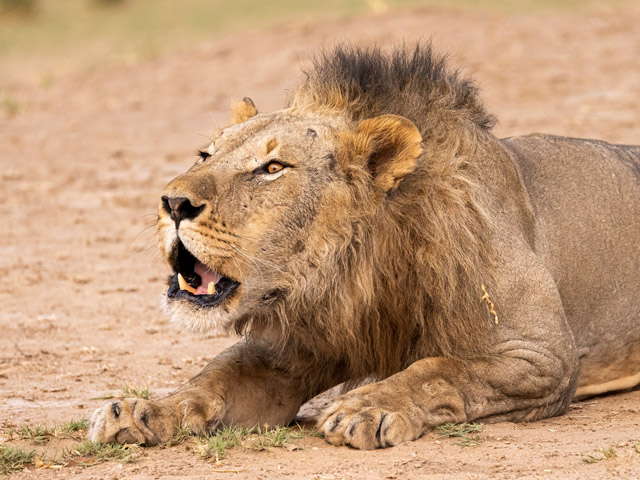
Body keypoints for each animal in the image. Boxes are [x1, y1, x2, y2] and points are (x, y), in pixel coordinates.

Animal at [88, 44, 640, 450]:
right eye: (206, 154)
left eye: (273, 168)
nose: (173, 203)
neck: (352, 272)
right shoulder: (294, 346)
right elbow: (216, 376)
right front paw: (143, 408)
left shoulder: (543, 356)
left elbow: (441, 368)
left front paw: (368, 406)